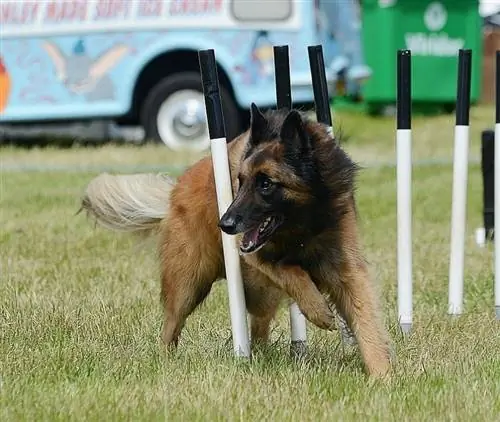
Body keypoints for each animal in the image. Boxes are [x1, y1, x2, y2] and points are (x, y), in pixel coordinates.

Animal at [79, 104, 390, 378]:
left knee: (259, 327)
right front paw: (318, 310)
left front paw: (381, 376)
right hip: (188, 284)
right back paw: (167, 361)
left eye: (266, 184)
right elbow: (289, 269)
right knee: (171, 327)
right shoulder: (254, 254)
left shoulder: (346, 268)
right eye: (240, 181)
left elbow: (366, 320)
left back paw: (263, 355)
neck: (303, 222)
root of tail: (176, 190)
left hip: (260, 294)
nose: (225, 225)